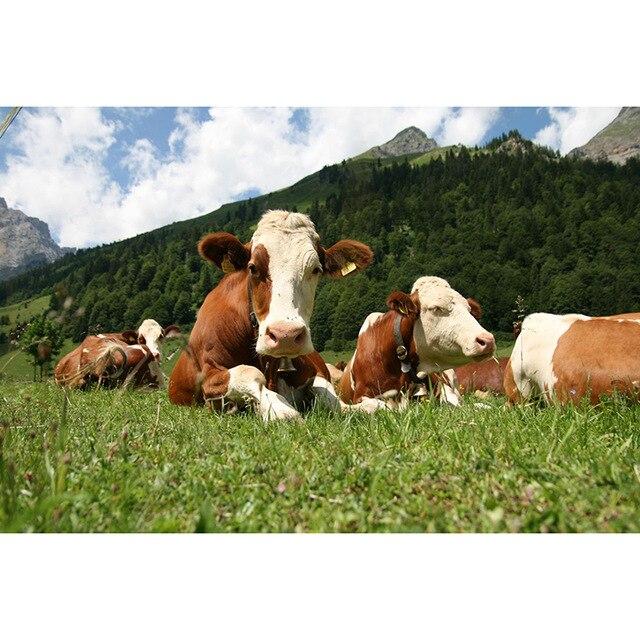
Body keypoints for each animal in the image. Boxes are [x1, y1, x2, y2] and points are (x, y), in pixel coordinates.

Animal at [167, 210, 373, 421]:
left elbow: (328, 395)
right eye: (253, 267)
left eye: (316, 269)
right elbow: (250, 373)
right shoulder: (209, 374)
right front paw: (279, 409)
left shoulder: (313, 372)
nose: (286, 335)